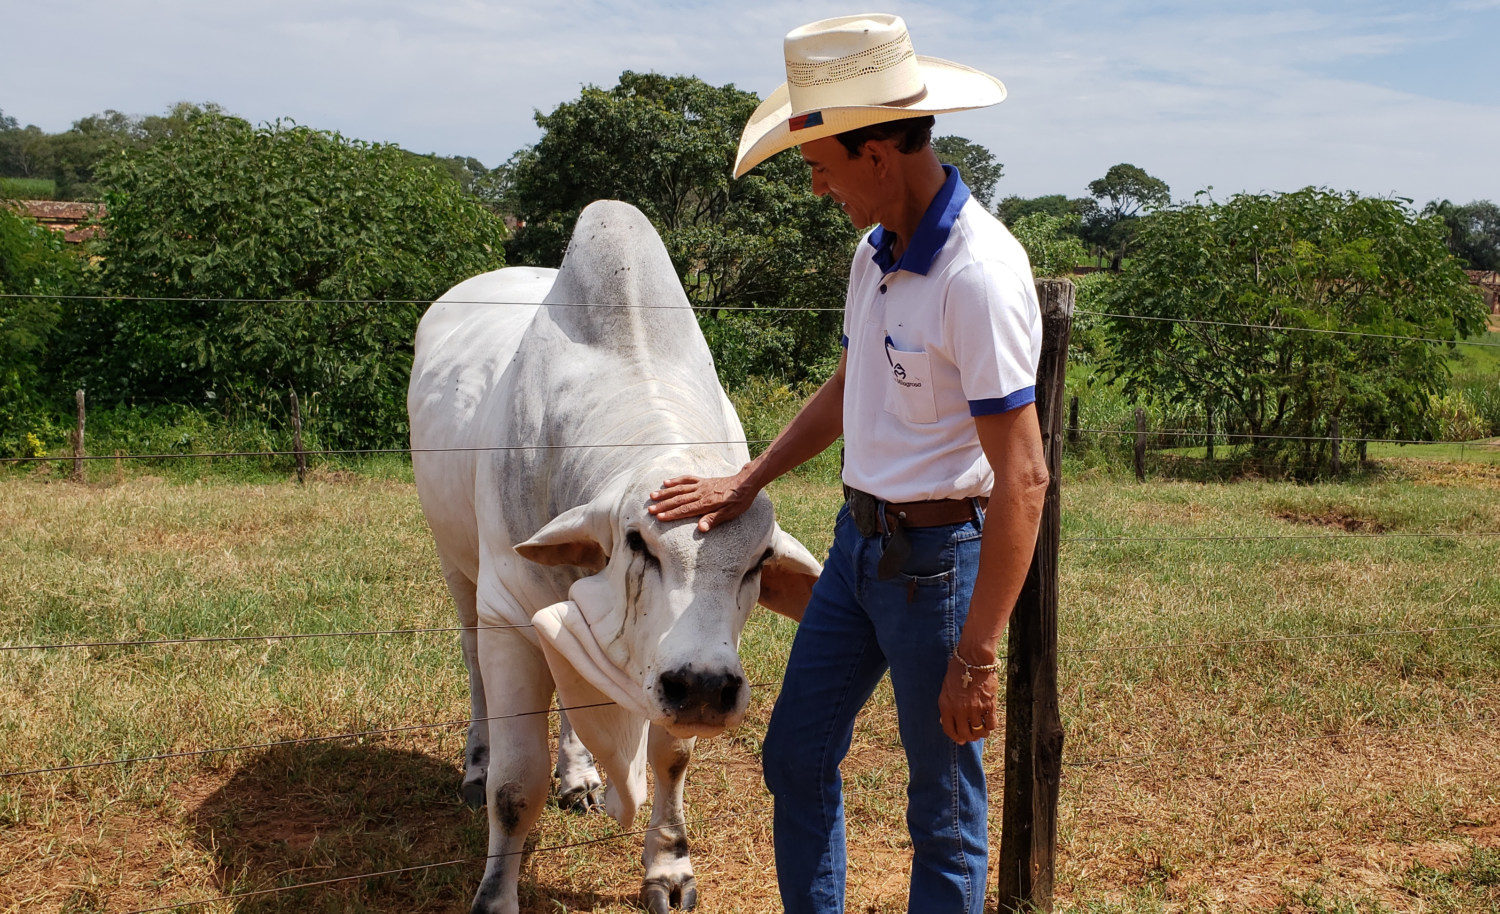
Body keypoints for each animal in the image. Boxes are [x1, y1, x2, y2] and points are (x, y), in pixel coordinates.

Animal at [408, 199, 822, 912]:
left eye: (758, 563)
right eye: (638, 543)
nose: (706, 686)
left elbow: (670, 758)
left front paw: (668, 868)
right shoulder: (508, 609)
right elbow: (516, 787)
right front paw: (496, 893)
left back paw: (578, 777)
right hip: (455, 565)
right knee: (472, 662)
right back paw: (476, 763)